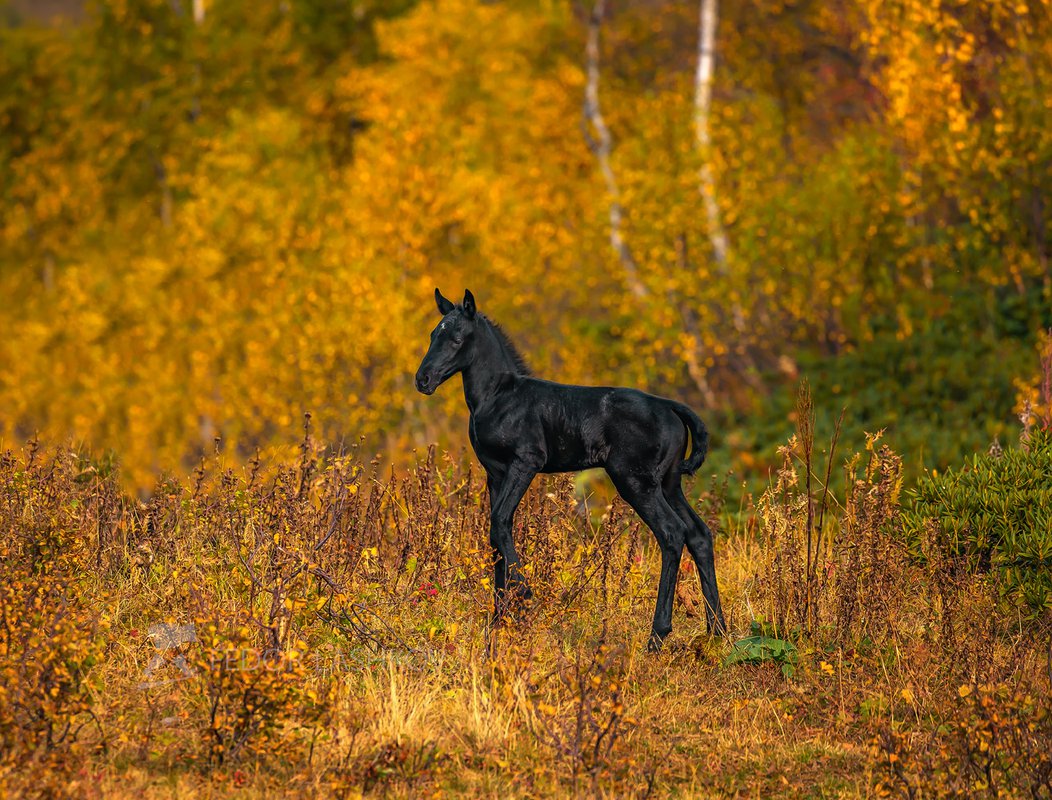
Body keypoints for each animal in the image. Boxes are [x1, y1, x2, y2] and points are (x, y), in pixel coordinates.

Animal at [414, 288, 727, 648]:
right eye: (432, 334)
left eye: (456, 338)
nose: (422, 379)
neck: (497, 397)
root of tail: (671, 406)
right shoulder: (495, 474)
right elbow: (495, 534)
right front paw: (498, 620)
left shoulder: (526, 462)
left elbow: (500, 523)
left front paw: (523, 595)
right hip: (669, 483)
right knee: (698, 534)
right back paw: (717, 630)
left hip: (635, 481)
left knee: (672, 532)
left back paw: (657, 636)